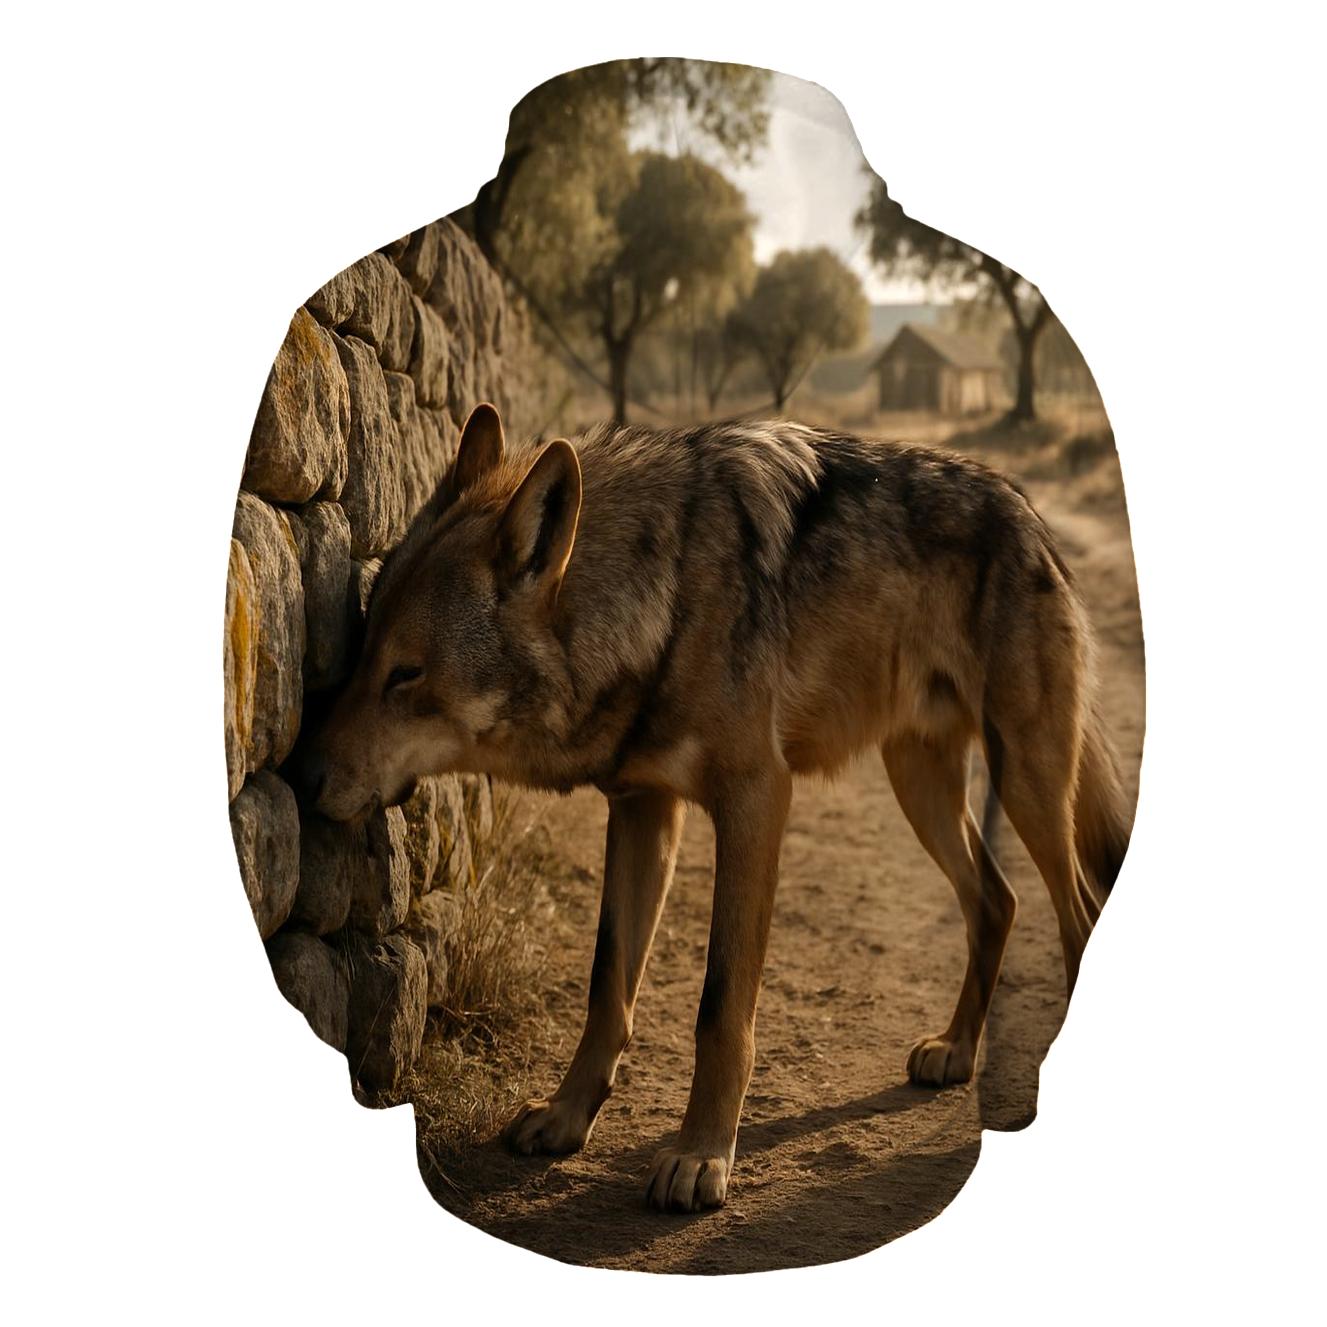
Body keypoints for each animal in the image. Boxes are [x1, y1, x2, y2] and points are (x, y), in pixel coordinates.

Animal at [305, 402, 1132, 1212]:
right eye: (361, 646)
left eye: (406, 674)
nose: (308, 778)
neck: (665, 598)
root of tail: (1025, 507)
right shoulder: (641, 808)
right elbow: (607, 984)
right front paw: (568, 1117)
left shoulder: (755, 799)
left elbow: (718, 1006)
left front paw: (700, 1156)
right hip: (920, 787)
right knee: (997, 899)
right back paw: (956, 1051)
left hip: (1025, 781)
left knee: (1079, 910)